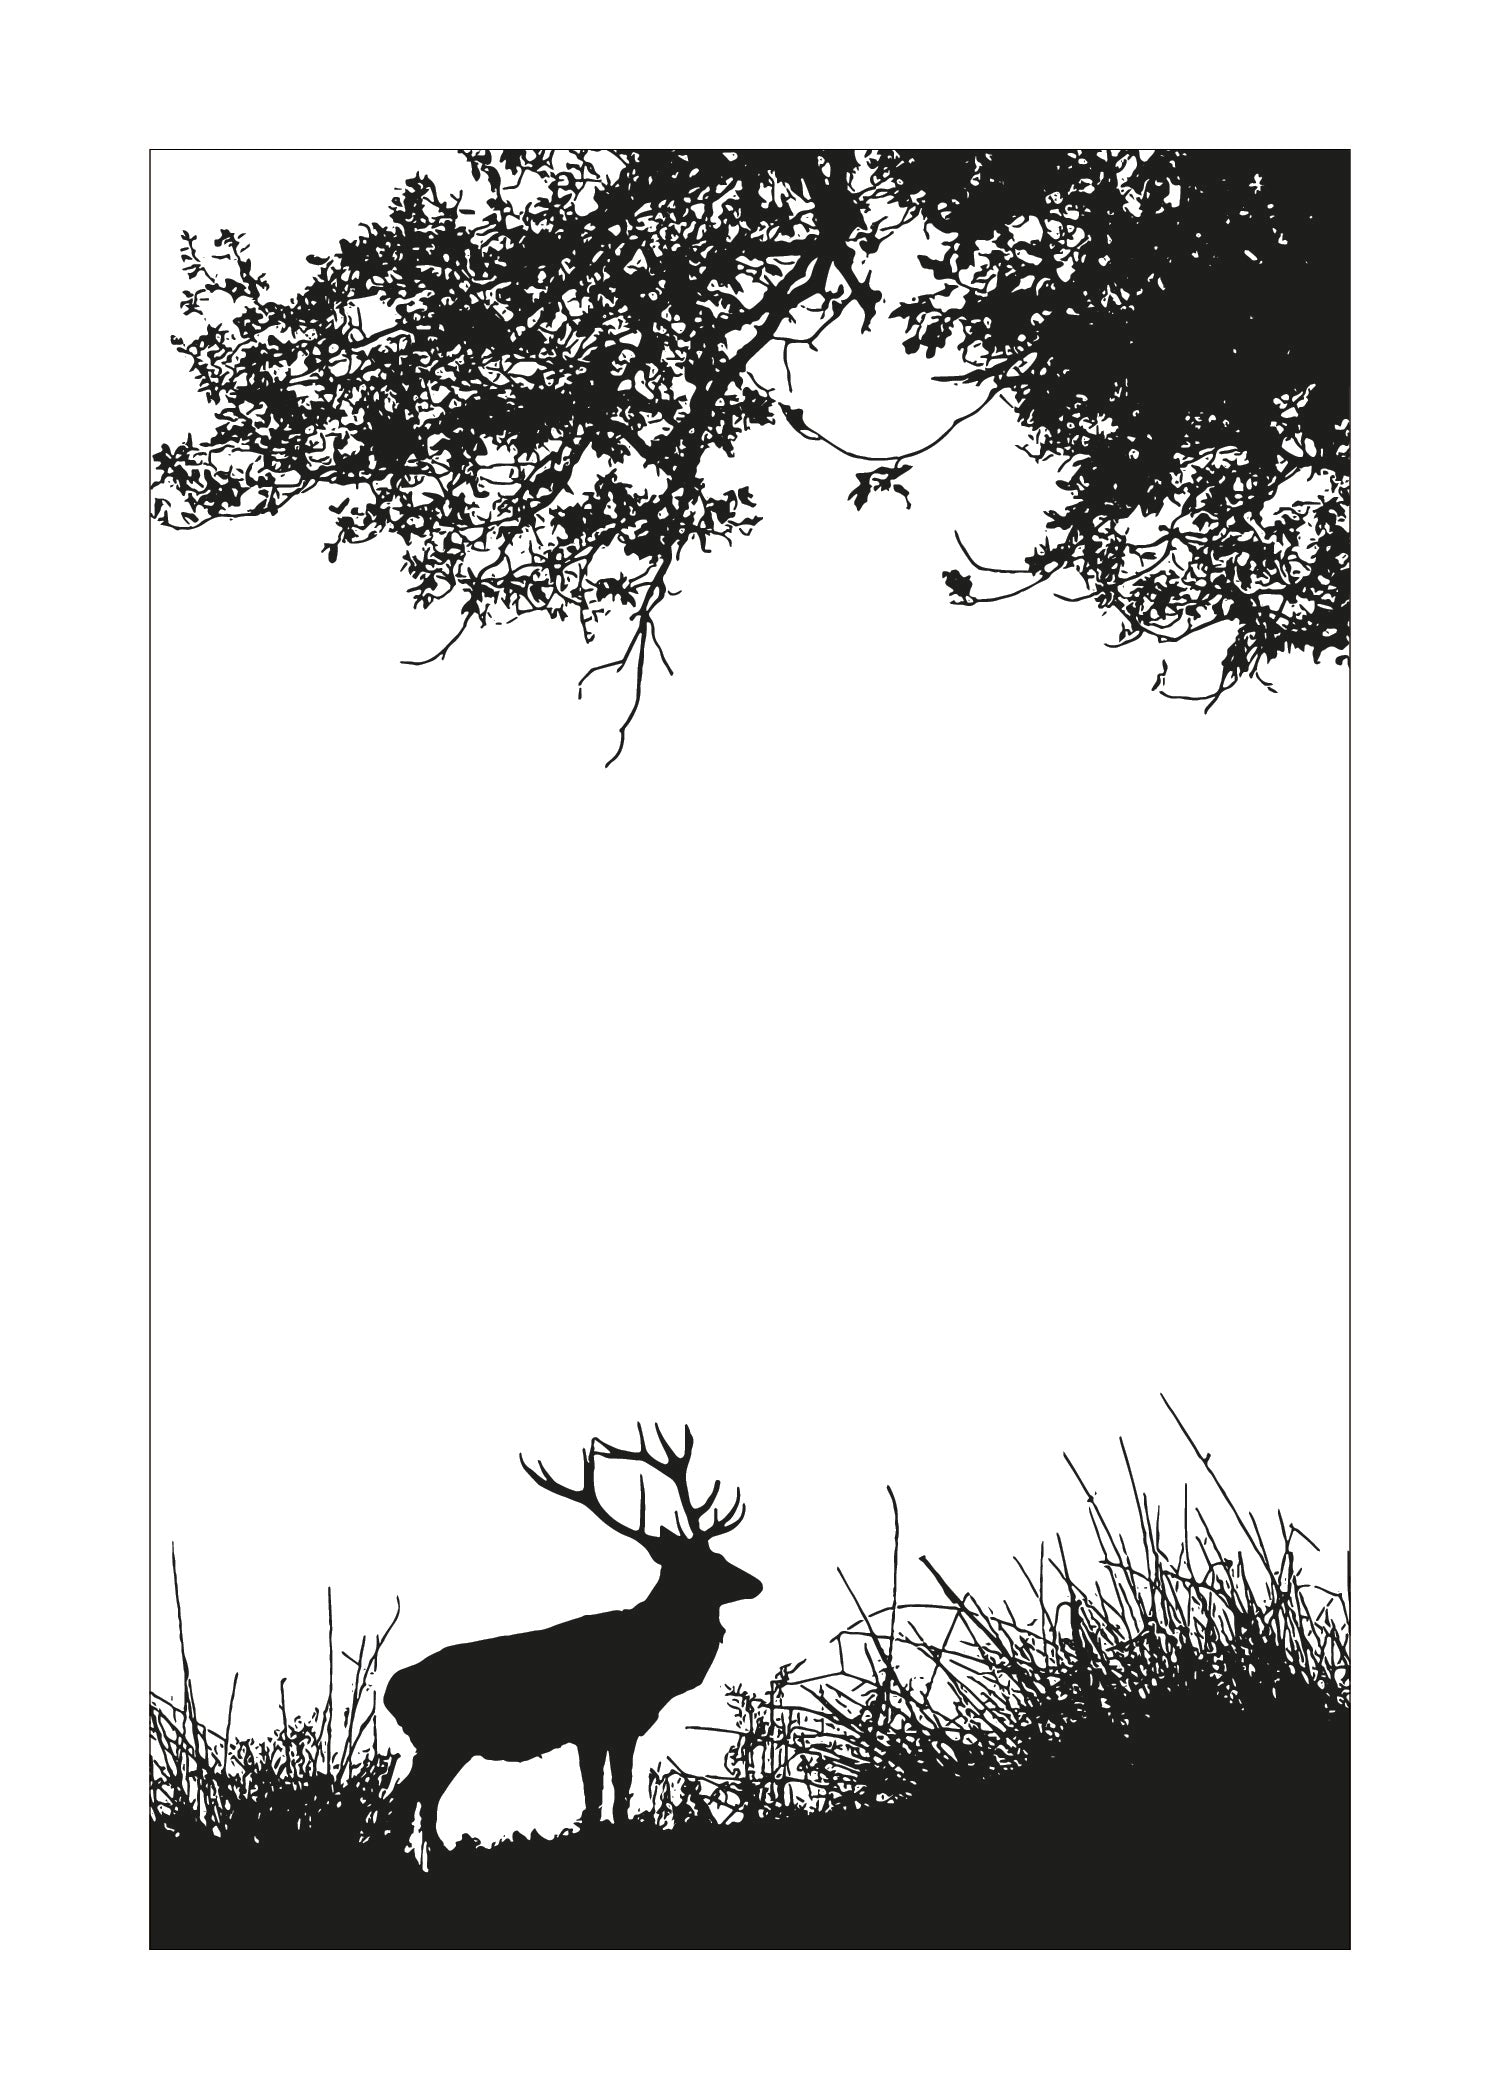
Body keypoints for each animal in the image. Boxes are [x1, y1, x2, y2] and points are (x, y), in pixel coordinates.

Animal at [382, 1424, 762, 1857]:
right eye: (710, 1563)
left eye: (721, 1555)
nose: (756, 1583)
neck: (656, 1663)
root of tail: (392, 1692)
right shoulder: (593, 1725)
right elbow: (597, 1794)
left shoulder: (620, 1727)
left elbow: (616, 1790)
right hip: (443, 1739)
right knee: (409, 1796)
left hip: (443, 1745)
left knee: (422, 1797)